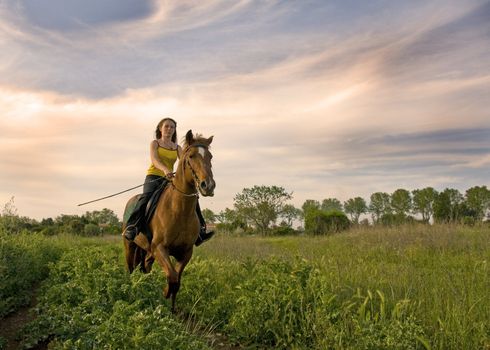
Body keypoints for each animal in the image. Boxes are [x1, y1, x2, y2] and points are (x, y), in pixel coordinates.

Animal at [122, 130, 214, 310]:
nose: (208, 185)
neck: (179, 210)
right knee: (131, 269)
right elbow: (171, 278)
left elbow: (176, 281)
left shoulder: (185, 252)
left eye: (210, 157)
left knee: (145, 267)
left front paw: (171, 309)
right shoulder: (160, 248)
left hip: (147, 250)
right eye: (191, 156)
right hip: (130, 246)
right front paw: (163, 296)